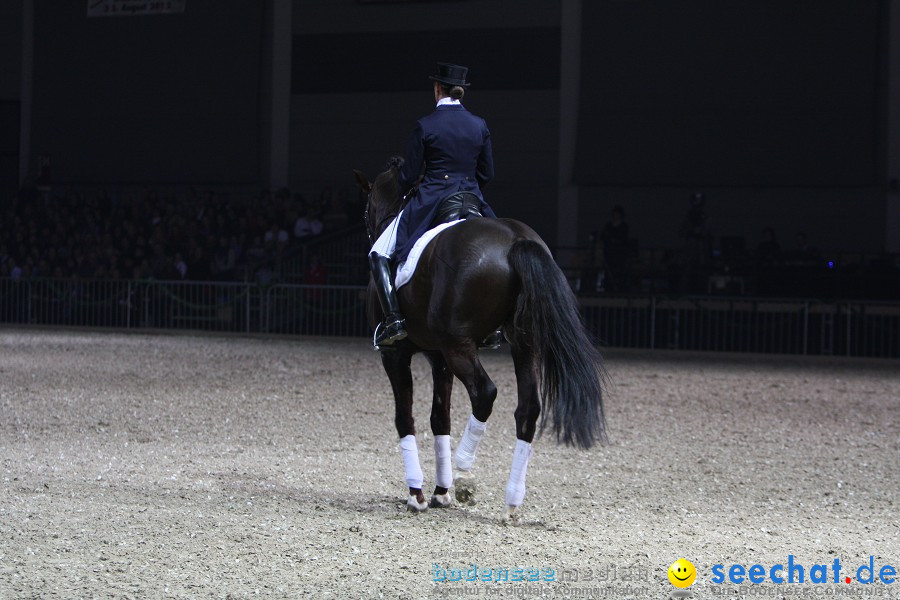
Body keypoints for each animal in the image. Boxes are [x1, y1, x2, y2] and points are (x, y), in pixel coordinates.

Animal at [352, 161, 604, 520]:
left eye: (365, 210)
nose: (371, 231)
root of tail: (516, 240)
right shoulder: (438, 357)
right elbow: (439, 418)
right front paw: (440, 492)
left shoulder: (396, 354)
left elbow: (405, 417)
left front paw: (418, 494)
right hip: (522, 344)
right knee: (528, 408)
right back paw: (511, 501)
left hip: (459, 347)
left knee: (485, 393)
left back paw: (465, 468)